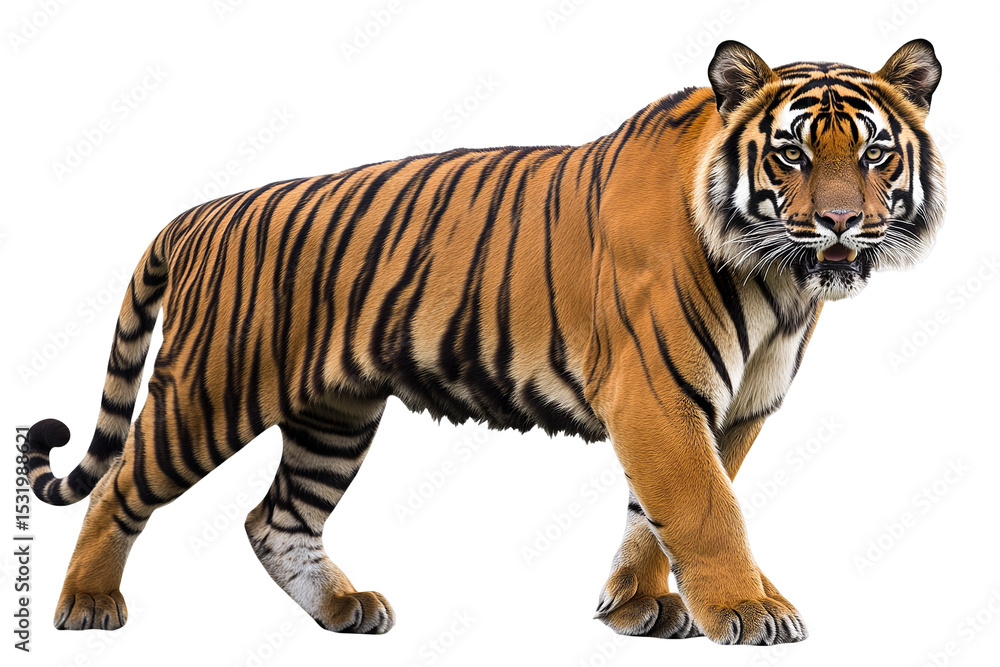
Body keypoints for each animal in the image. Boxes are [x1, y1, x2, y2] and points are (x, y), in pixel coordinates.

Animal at [26, 39, 944, 645]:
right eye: (790, 154)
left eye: (874, 154)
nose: (841, 222)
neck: (780, 279)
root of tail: (198, 213)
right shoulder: (657, 393)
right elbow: (705, 507)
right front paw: (749, 610)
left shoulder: (732, 407)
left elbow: (655, 511)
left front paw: (638, 606)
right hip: (210, 391)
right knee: (122, 487)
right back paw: (89, 606)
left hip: (335, 416)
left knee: (274, 518)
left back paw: (344, 609)